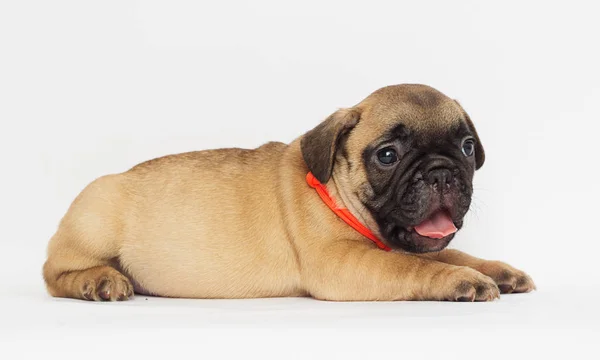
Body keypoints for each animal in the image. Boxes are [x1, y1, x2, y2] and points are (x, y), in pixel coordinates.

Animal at [44, 83, 536, 300]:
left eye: (467, 146)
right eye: (387, 156)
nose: (441, 172)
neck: (337, 196)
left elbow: (452, 252)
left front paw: (497, 271)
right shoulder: (343, 263)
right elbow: (416, 267)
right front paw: (461, 281)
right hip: (95, 221)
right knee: (55, 274)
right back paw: (98, 280)